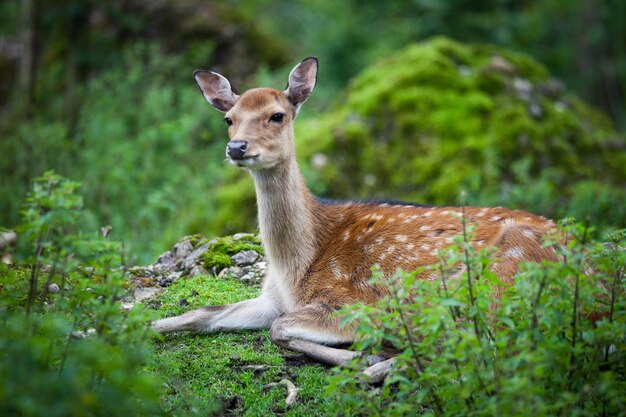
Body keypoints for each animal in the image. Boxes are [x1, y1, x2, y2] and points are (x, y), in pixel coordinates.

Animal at [152, 57, 556, 372]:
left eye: (277, 115)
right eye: (229, 119)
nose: (237, 147)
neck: (294, 266)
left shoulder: (354, 302)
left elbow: (279, 328)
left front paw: (362, 354)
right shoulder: (270, 299)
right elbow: (199, 314)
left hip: (489, 282)